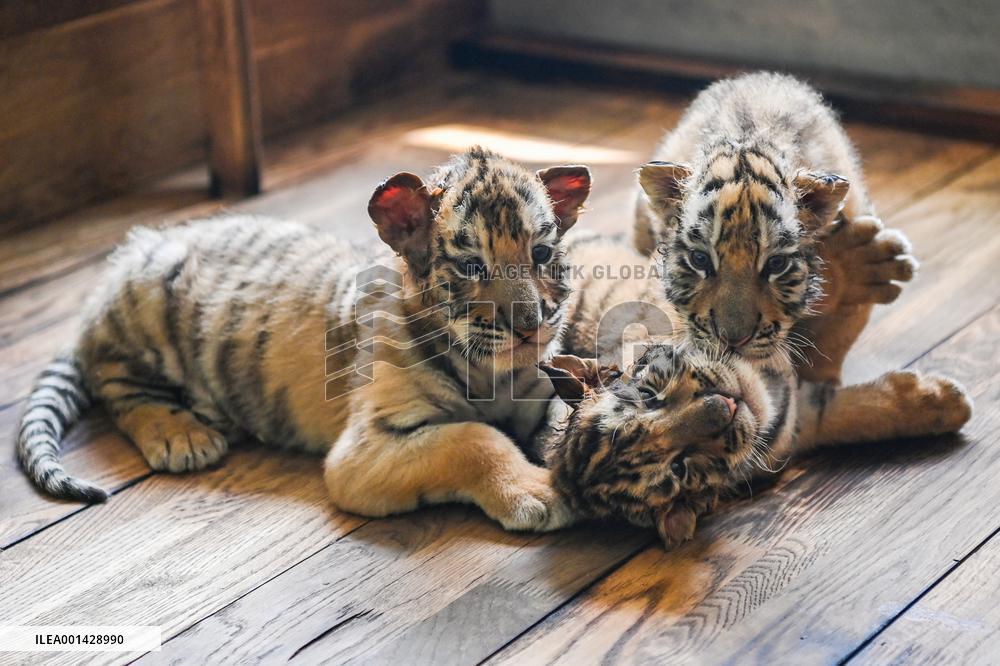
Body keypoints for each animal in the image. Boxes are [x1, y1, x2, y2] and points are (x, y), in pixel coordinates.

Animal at [17, 147, 592, 532]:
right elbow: (473, 439)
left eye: (541, 254)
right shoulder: (364, 449)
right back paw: (181, 435)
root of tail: (133, 251)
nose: (530, 325)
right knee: (117, 383)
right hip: (142, 320)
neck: (491, 372)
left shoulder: (539, 388)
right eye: (472, 266)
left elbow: (559, 415)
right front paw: (537, 491)